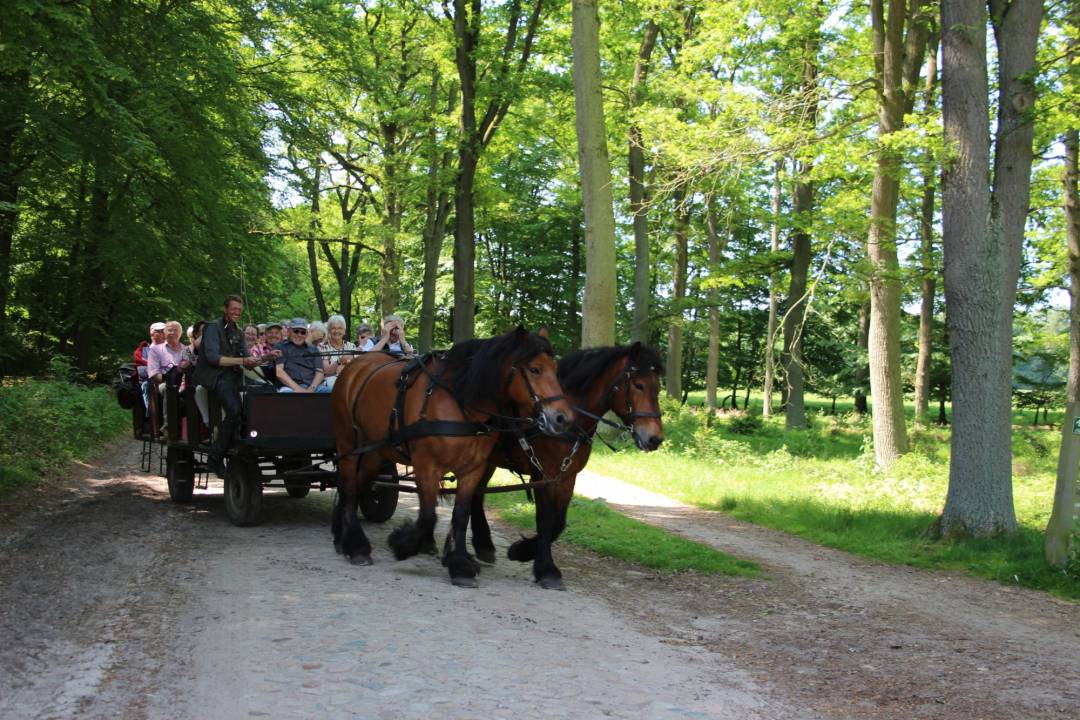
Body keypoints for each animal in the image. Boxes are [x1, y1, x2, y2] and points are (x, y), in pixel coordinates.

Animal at [332, 330, 574, 587]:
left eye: (555, 370)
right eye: (535, 369)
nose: (563, 418)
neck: (461, 404)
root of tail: (354, 365)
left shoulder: (473, 469)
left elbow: (460, 515)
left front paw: (459, 565)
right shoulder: (426, 465)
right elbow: (428, 515)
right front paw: (403, 544)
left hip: (377, 451)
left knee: (356, 485)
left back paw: (340, 533)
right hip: (348, 442)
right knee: (349, 486)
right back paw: (356, 545)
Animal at [468, 345, 660, 591]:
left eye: (658, 388)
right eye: (639, 385)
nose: (655, 438)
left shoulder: (566, 478)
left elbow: (557, 523)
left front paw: (522, 551)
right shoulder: (542, 475)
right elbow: (545, 520)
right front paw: (546, 570)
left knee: (476, 493)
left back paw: (483, 545)